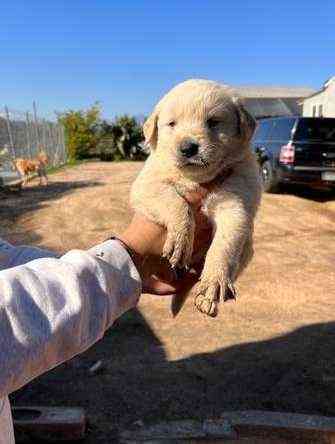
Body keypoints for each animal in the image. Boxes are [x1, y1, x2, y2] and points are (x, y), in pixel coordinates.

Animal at [131, 79, 262, 316]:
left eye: (213, 122)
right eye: (172, 124)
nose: (188, 148)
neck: (196, 179)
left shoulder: (235, 204)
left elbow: (224, 244)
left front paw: (215, 281)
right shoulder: (147, 185)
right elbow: (176, 203)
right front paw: (180, 240)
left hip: (247, 249)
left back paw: (206, 300)